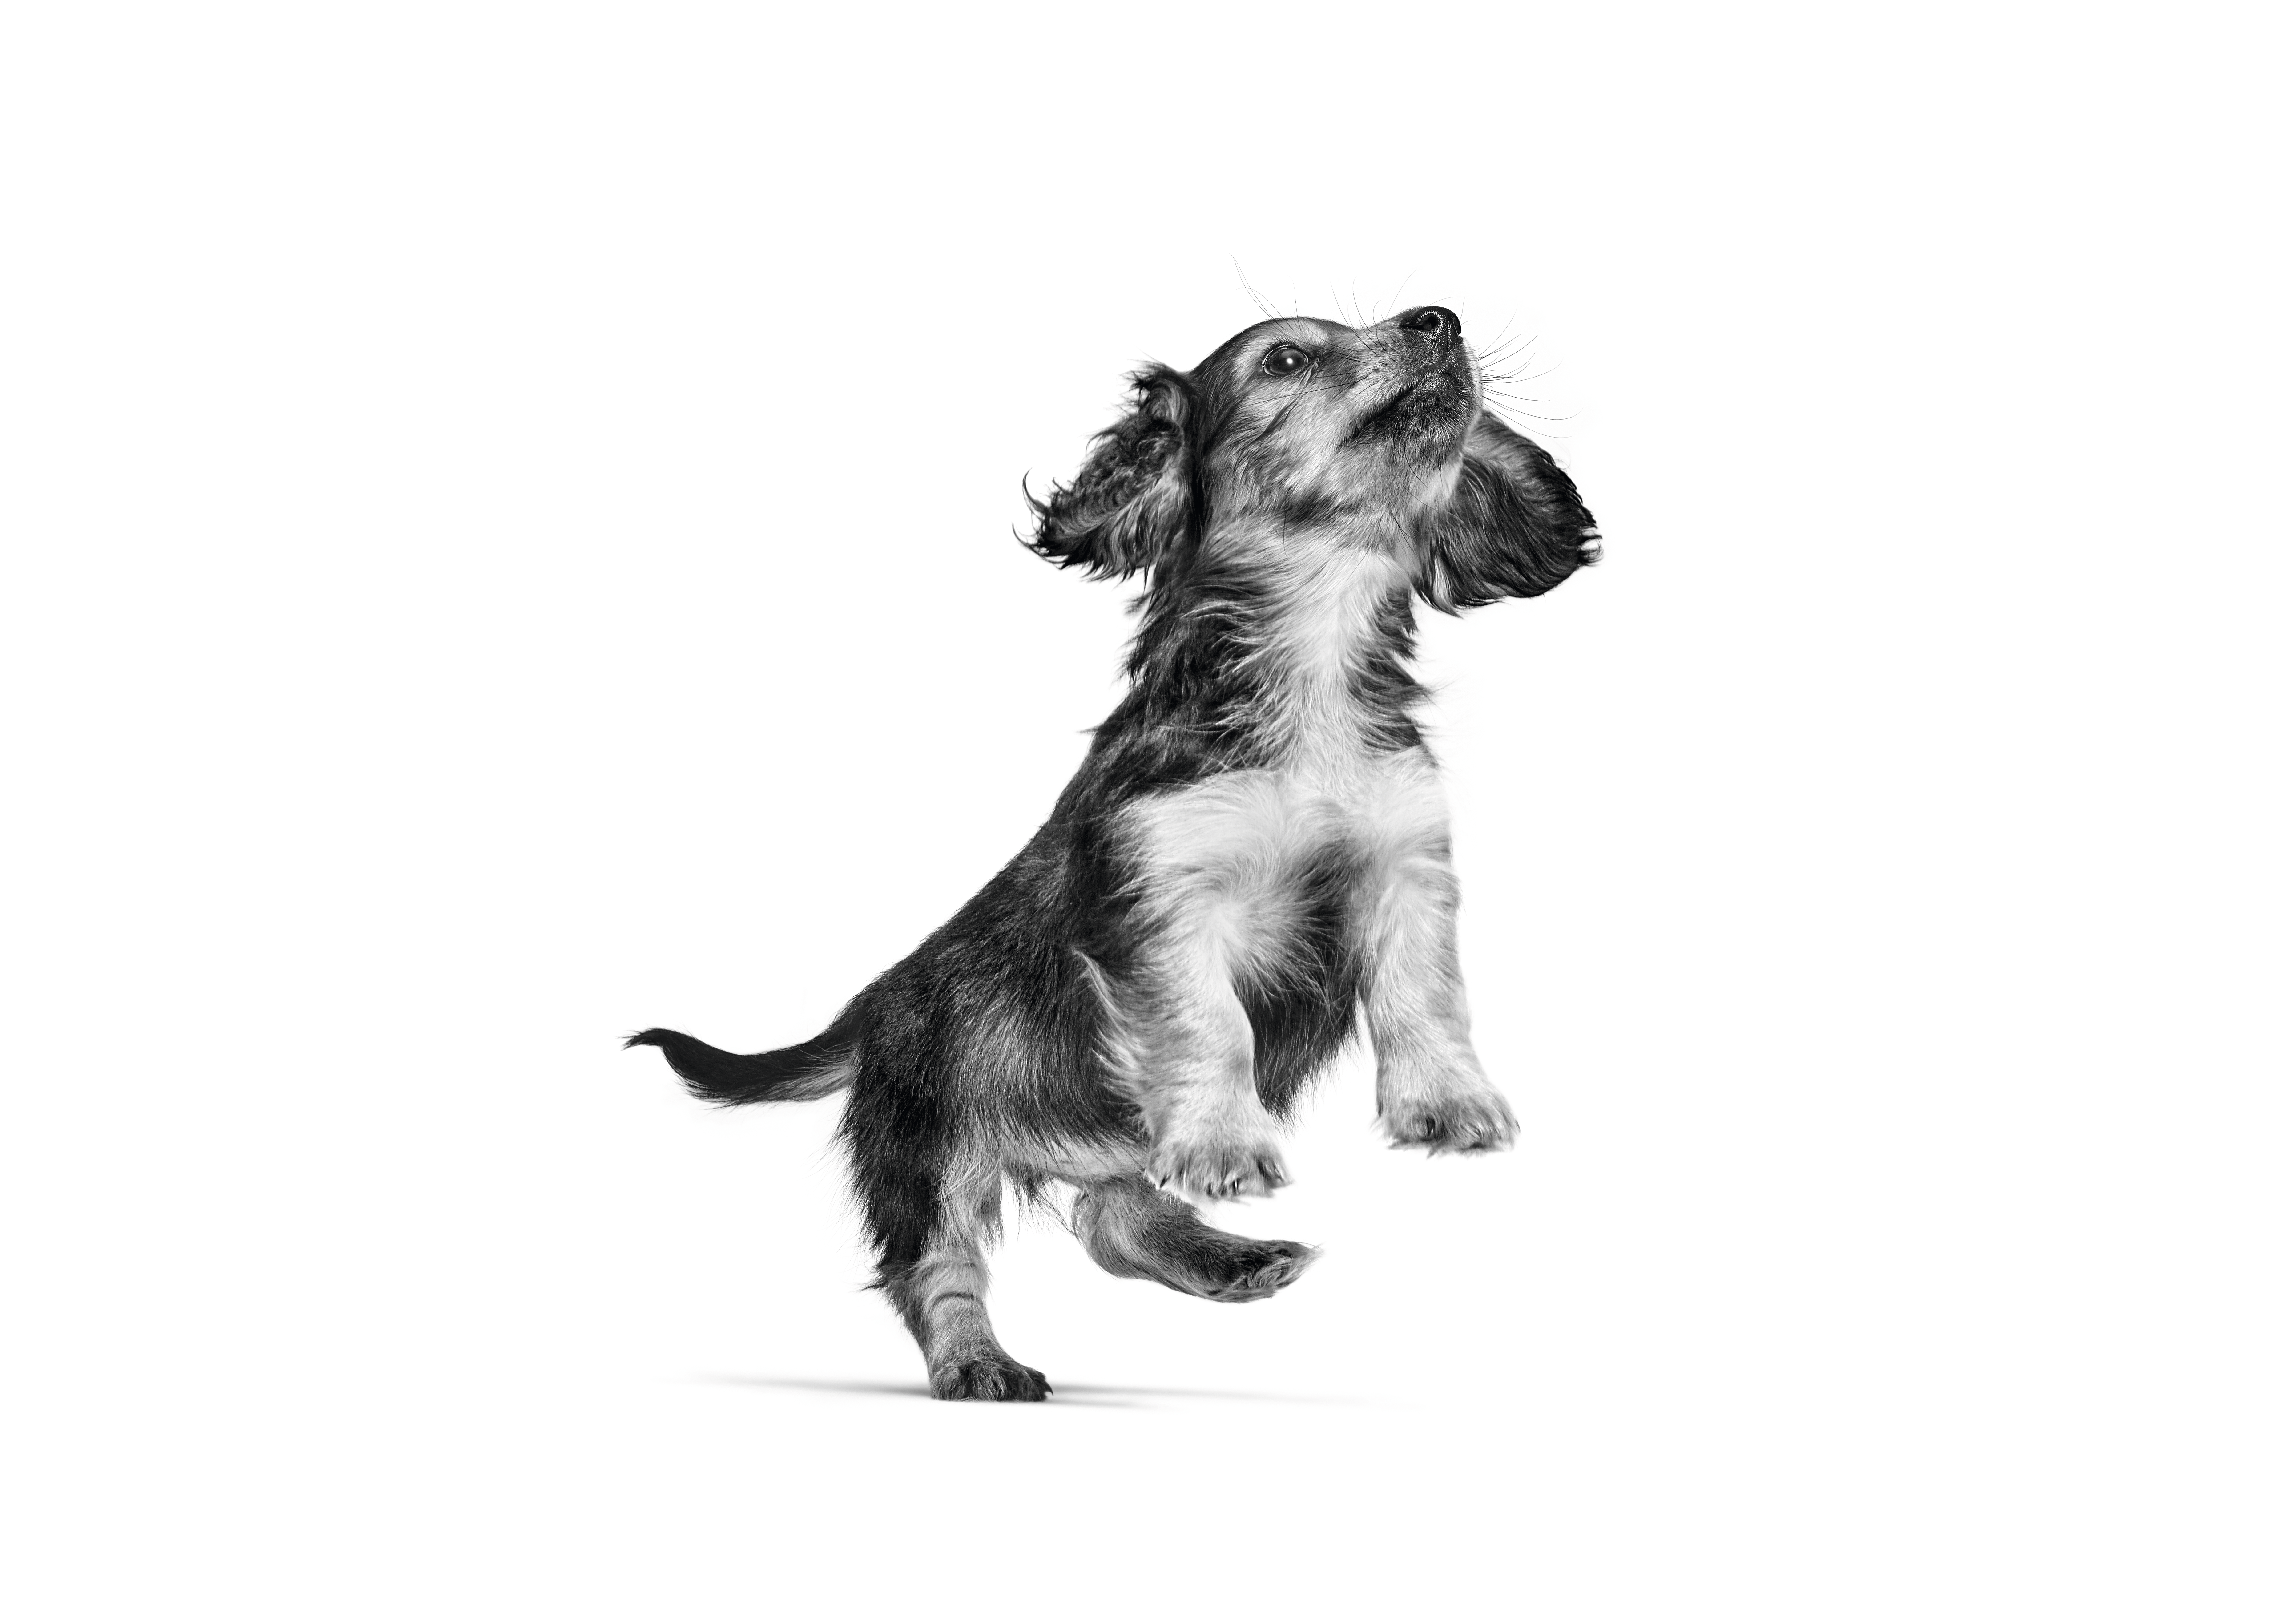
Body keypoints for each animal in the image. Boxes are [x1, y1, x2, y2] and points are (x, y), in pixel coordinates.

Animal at [629, 305, 1598, 1396]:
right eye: (1287, 358)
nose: (1439, 319)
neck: (1311, 656)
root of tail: (871, 1007)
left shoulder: (1405, 865)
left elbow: (1426, 994)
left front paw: (1448, 1103)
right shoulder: (1162, 900)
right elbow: (1211, 1025)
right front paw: (1224, 1139)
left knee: (1110, 1213)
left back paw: (1232, 1260)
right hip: (930, 1146)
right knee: (936, 1264)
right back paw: (978, 1363)